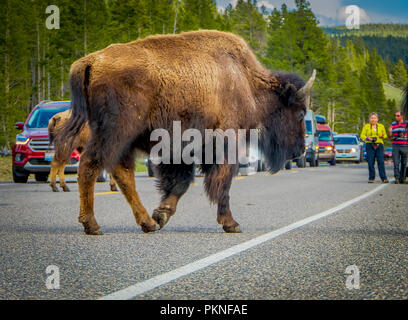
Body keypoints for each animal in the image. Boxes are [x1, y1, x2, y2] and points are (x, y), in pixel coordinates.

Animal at [55, 30, 316, 235]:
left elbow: (180, 182)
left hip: (123, 141)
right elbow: (222, 183)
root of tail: (90, 61)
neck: (247, 81)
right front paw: (231, 223)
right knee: (90, 165)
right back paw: (92, 225)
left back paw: (147, 223)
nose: (299, 150)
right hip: (114, 133)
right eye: (300, 113)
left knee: (122, 174)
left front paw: (161, 215)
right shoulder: (224, 144)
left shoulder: (180, 151)